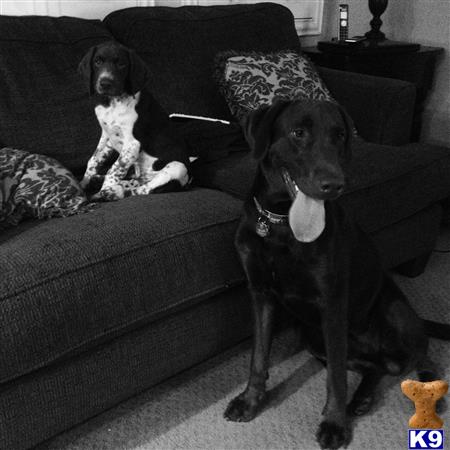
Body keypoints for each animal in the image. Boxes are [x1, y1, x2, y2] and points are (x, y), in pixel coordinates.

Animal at [78, 39, 190, 201]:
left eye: (121, 64)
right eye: (97, 61)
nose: (105, 83)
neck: (113, 102)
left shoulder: (132, 144)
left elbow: (114, 169)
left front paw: (103, 189)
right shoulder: (107, 136)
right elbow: (93, 160)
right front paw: (83, 183)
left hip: (177, 167)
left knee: (143, 190)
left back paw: (109, 192)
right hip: (138, 174)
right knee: (132, 182)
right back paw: (98, 182)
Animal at [227, 99, 448, 450]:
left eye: (340, 136)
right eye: (298, 133)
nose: (334, 185)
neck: (280, 223)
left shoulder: (331, 304)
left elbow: (336, 380)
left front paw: (334, 424)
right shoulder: (260, 294)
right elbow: (258, 357)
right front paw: (250, 400)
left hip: (394, 312)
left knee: (420, 355)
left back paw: (428, 392)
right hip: (314, 338)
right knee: (379, 366)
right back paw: (361, 399)